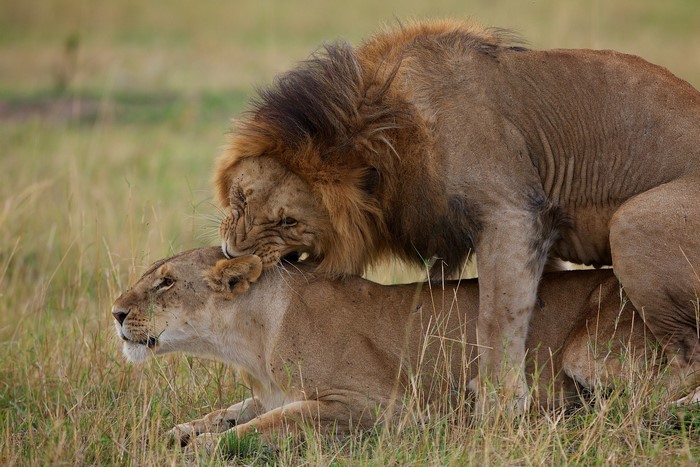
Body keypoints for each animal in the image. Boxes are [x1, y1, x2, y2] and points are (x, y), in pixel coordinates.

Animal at [113, 247, 663, 450]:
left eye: (165, 282)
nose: (115, 313)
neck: (250, 343)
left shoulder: (374, 405)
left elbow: (267, 424)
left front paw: (202, 449)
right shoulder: (269, 392)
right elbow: (234, 411)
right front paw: (181, 431)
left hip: (588, 351)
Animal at [214, 20, 700, 409]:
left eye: (288, 222)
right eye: (240, 198)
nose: (231, 254)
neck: (391, 129)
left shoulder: (514, 213)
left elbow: (497, 315)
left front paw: (500, 405)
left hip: (632, 222)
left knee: (688, 352)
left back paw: (645, 405)